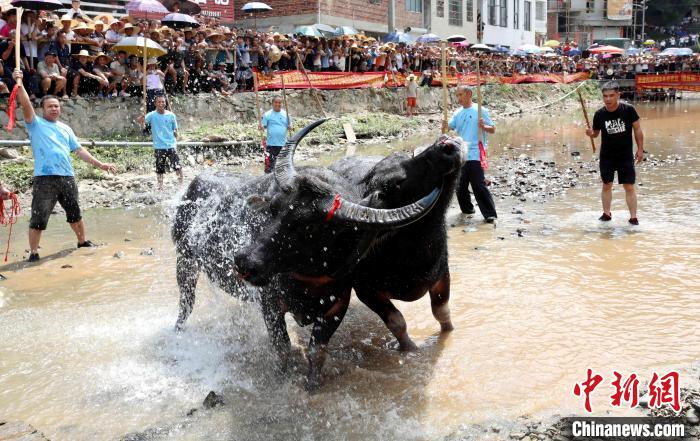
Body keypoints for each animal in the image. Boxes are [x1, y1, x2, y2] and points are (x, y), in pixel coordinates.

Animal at [171, 119, 438, 388]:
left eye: (310, 227)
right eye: (273, 207)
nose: (245, 261)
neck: (304, 281)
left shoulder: (335, 308)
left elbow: (316, 352)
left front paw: (313, 384)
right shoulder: (270, 305)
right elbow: (282, 348)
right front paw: (281, 376)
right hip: (185, 261)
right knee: (186, 304)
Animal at [334, 134, 464, 350]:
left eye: (409, 156)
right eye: (397, 182)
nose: (446, 143)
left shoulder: (441, 274)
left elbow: (442, 311)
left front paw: (449, 333)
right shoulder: (366, 291)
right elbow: (397, 321)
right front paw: (409, 349)